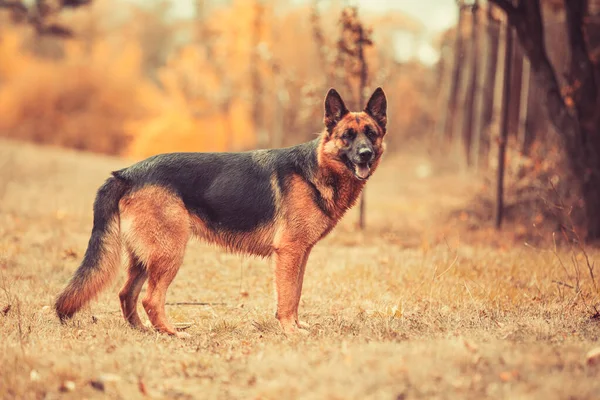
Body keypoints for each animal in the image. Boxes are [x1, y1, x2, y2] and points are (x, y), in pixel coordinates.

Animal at [54, 88, 386, 338]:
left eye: (371, 133)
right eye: (347, 136)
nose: (365, 154)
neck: (316, 168)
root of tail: (127, 173)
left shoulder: (300, 254)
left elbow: (296, 293)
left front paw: (296, 325)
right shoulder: (289, 252)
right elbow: (288, 296)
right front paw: (290, 330)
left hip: (145, 257)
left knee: (126, 294)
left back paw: (145, 331)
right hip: (169, 253)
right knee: (150, 298)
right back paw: (171, 333)